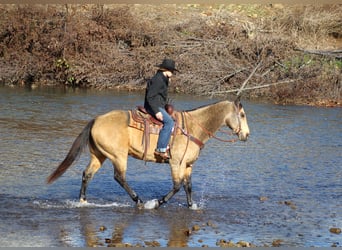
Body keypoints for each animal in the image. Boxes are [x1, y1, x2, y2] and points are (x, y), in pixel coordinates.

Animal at [46, 97, 248, 209]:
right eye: (243, 115)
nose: (246, 135)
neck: (191, 128)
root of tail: (96, 119)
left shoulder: (188, 165)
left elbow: (188, 186)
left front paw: (192, 206)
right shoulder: (176, 163)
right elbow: (177, 186)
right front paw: (156, 203)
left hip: (99, 155)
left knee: (87, 174)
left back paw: (82, 201)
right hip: (118, 156)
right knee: (119, 177)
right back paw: (140, 201)